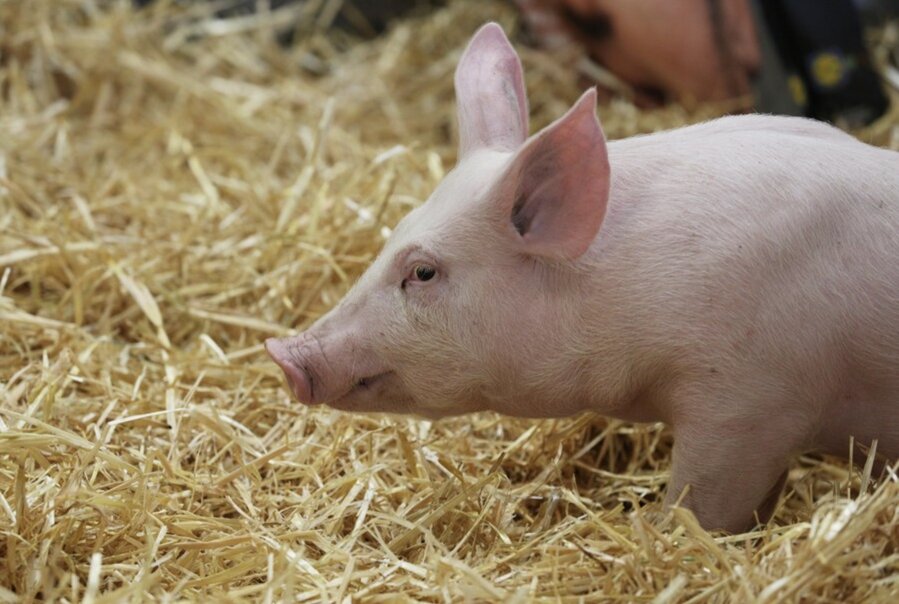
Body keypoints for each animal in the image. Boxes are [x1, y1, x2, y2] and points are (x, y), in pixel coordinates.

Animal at [266, 23, 899, 533]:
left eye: (422, 271)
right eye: (394, 230)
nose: (283, 352)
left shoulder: (748, 404)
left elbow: (703, 506)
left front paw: (660, 536)